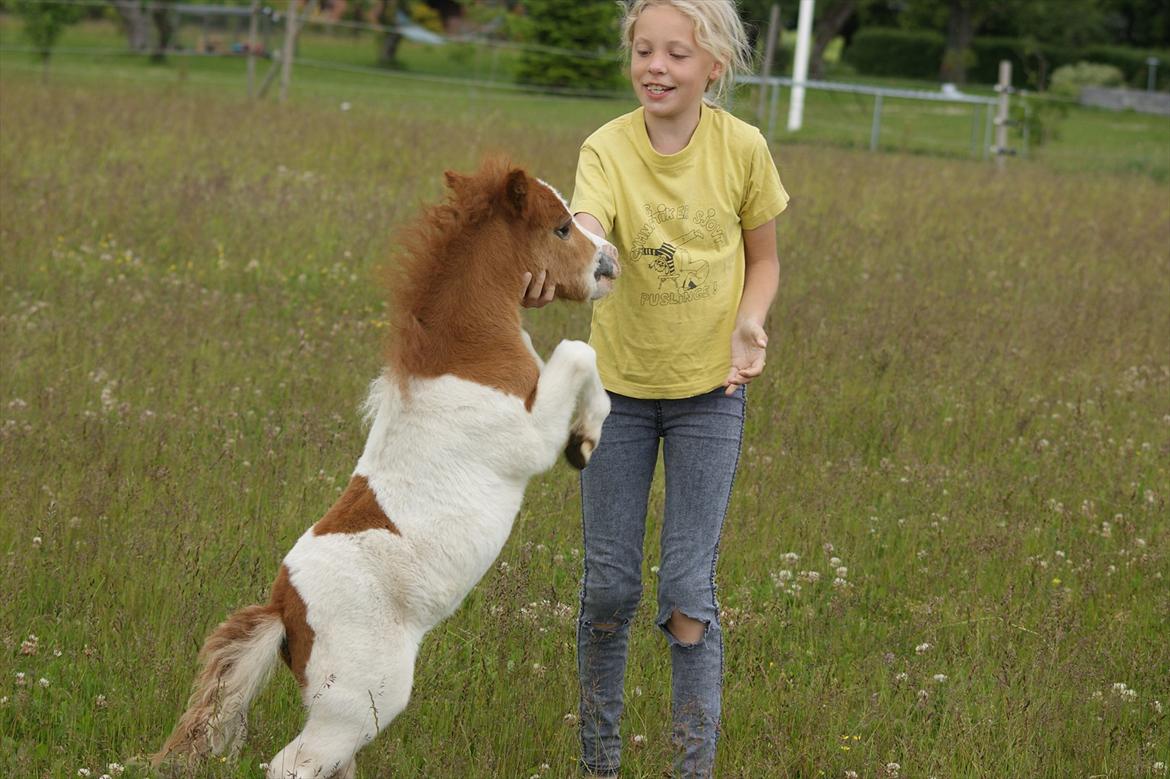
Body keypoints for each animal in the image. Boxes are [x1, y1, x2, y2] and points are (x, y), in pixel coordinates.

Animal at [155, 159, 622, 776]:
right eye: (562, 228)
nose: (610, 264)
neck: (468, 353)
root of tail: (285, 607)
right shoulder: (529, 435)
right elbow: (578, 352)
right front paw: (583, 444)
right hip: (358, 705)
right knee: (292, 765)